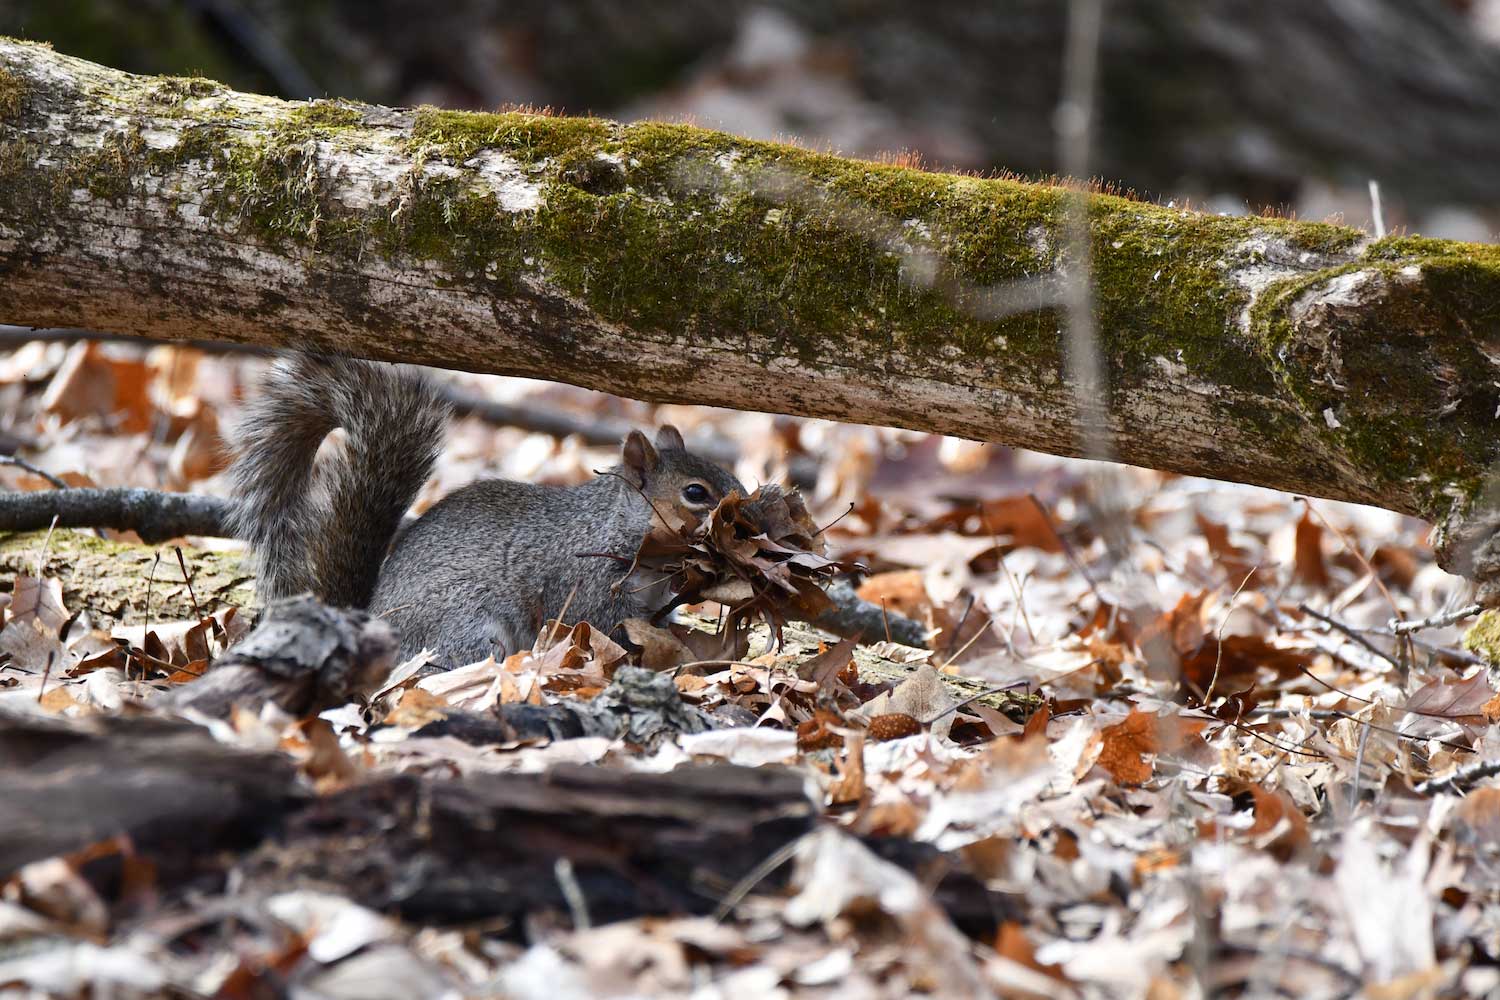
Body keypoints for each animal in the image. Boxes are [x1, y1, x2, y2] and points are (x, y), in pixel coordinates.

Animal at [226, 352, 744, 665]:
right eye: (695, 493)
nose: (748, 518)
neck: (613, 528)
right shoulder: (586, 587)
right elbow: (606, 628)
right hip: (466, 626)